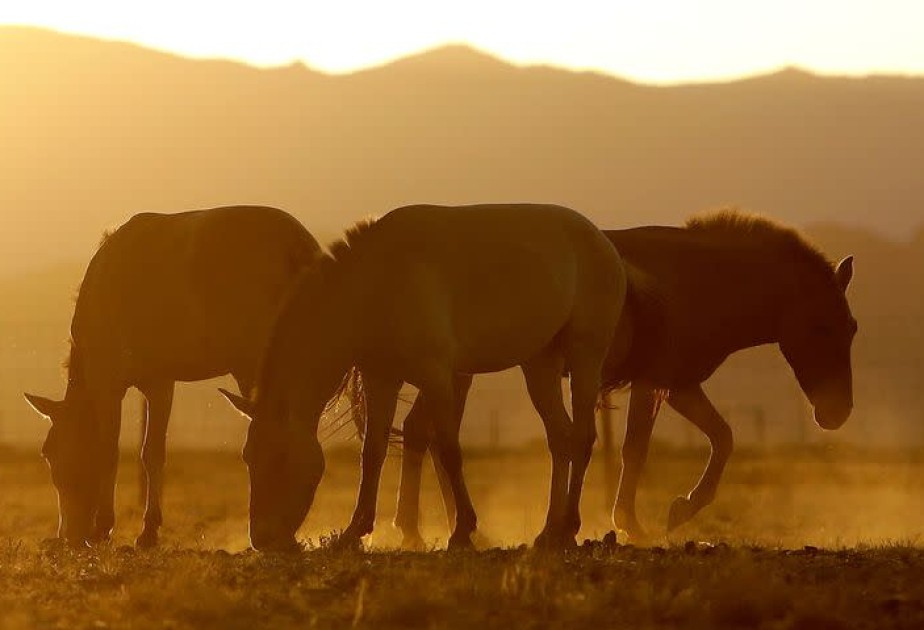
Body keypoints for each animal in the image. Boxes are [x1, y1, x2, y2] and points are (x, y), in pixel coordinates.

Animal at [24, 205, 321, 547]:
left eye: (49, 453)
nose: (67, 535)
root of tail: (296, 245)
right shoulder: (159, 384)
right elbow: (152, 452)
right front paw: (148, 531)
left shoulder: (107, 381)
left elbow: (109, 451)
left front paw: (102, 528)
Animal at [219, 203, 627, 551]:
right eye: (247, 457)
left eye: (279, 459)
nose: (262, 539)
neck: (373, 285)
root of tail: (600, 239)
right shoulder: (381, 379)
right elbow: (373, 452)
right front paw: (354, 531)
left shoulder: (437, 376)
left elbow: (448, 449)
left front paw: (462, 531)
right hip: (539, 363)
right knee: (560, 439)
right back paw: (549, 532)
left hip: (585, 355)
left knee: (582, 437)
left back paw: (569, 527)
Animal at [389, 210, 856, 546]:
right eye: (821, 327)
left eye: (851, 328)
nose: (836, 414)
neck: (695, 279)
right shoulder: (655, 382)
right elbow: (637, 448)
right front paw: (636, 522)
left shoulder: (679, 384)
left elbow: (722, 437)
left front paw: (680, 508)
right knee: (427, 435)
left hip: (456, 374)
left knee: (421, 433)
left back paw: (439, 530)